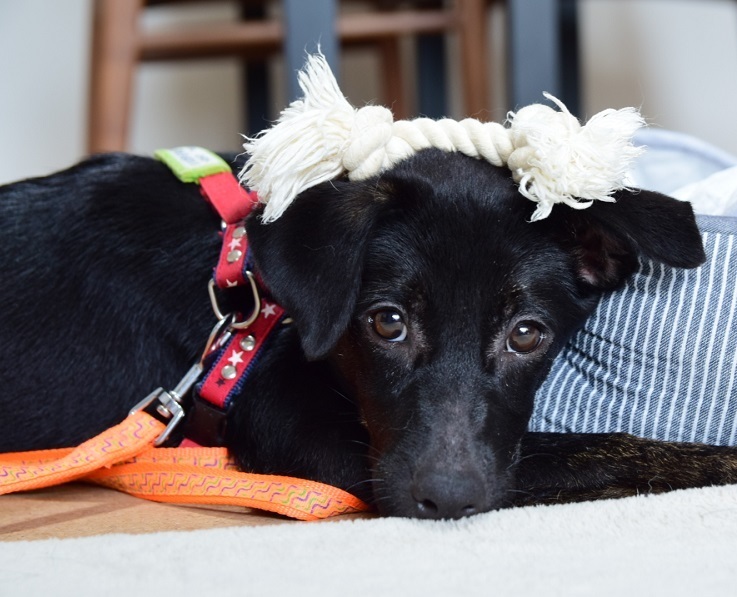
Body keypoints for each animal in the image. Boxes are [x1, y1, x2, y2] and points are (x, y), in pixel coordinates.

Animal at [2, 144, 737, 519]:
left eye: (528, 334)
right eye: (387, 322)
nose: (448, 500)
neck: (259, 301)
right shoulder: (314, 438)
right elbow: (592, 451)